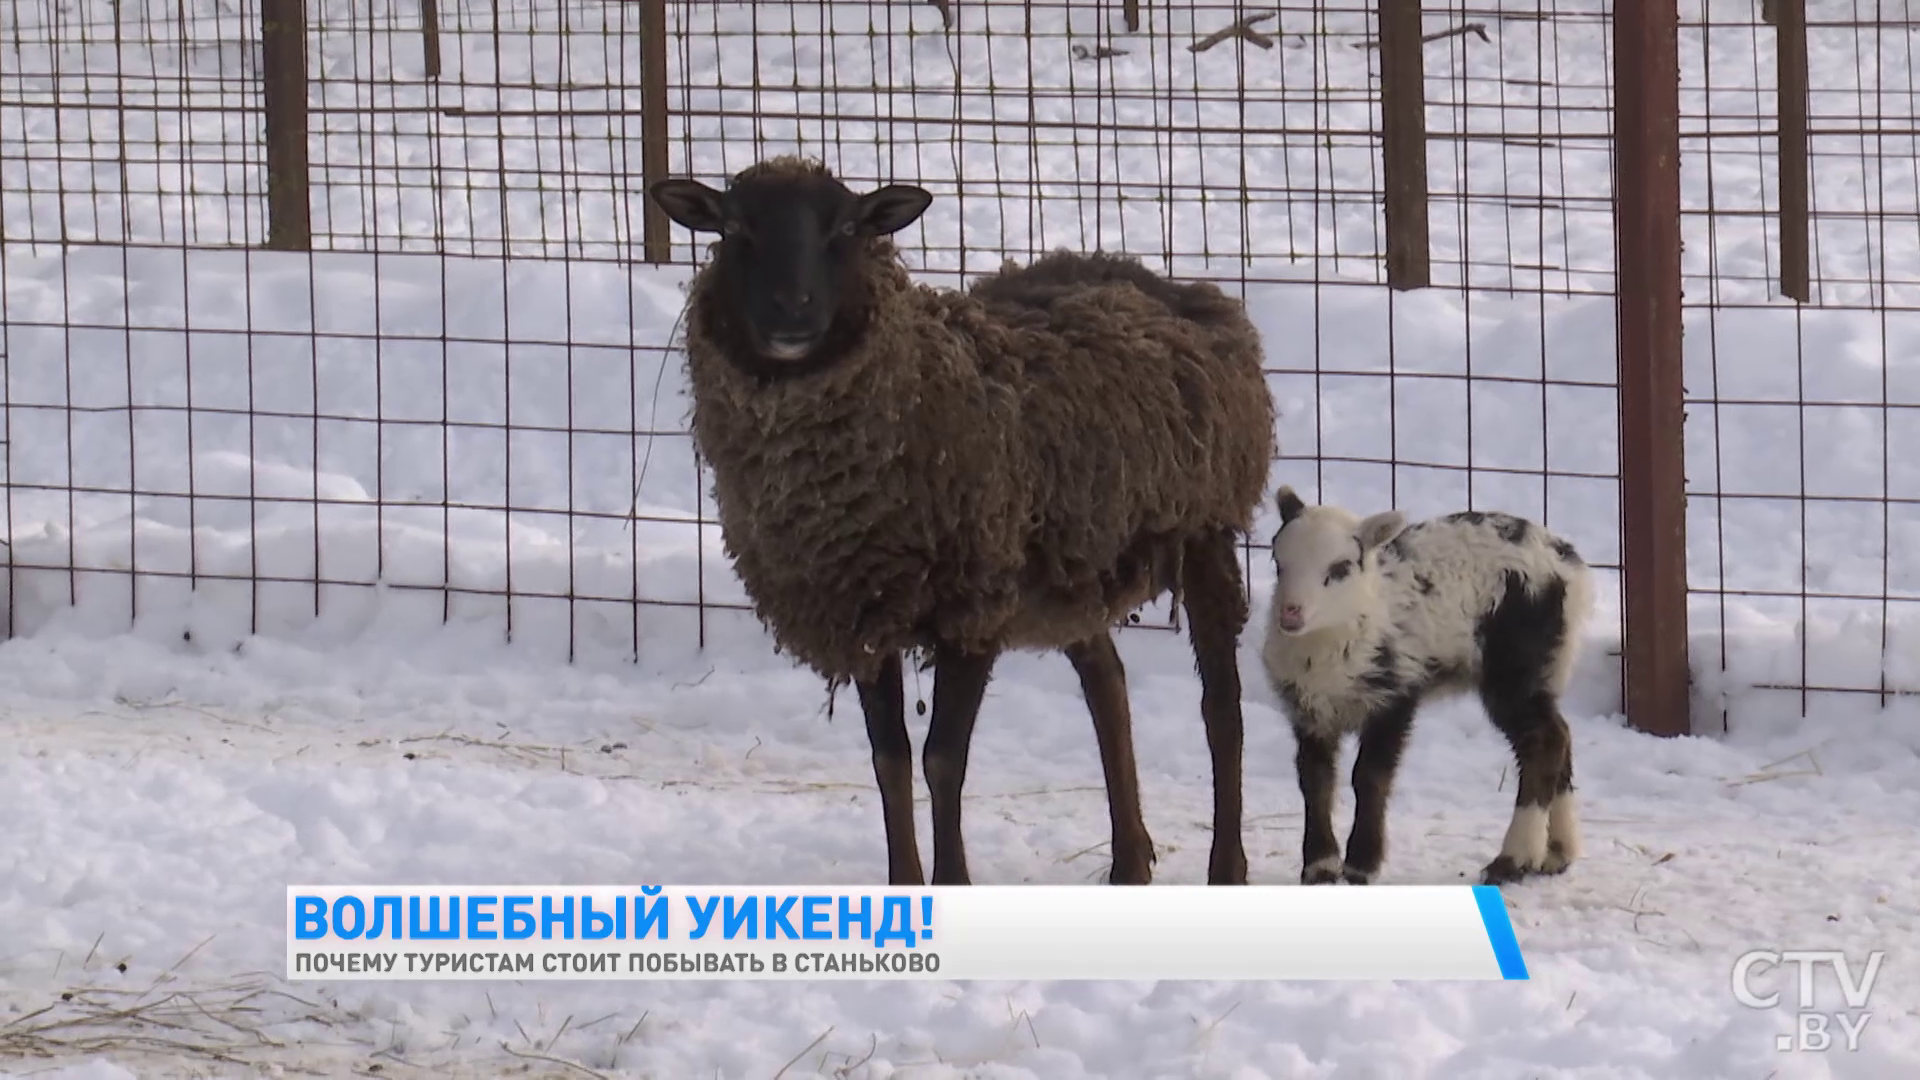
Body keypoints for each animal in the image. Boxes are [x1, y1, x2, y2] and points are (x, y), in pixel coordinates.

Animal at [652, 157, 1282, 883]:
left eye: (846, 228)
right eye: (733, 230)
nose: (791, 311)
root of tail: (1163, 280)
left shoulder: (973, 604)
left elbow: (942, 760)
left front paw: (951, 878)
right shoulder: (864, 612)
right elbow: (890, 760)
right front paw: (904, 882)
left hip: (1202, 528)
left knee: (1221, 707)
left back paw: (1225, 864)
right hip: (1070, 561)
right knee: (1107, 683)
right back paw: (1129, 859)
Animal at [1259, 488, 1589, 883]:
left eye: (1340, 568)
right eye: (1278, 562)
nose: (1290, 612)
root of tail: (1569, 564)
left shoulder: (1394, 693)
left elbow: (1369, 777)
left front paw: (1361, 865)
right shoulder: (1309, 708)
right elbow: (1315, 779)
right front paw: (1319, 866)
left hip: (1517, 659)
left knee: (1542, 740)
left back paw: (1513, 858)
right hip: (1545, 665)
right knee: (1560, 732)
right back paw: (1558, 852)